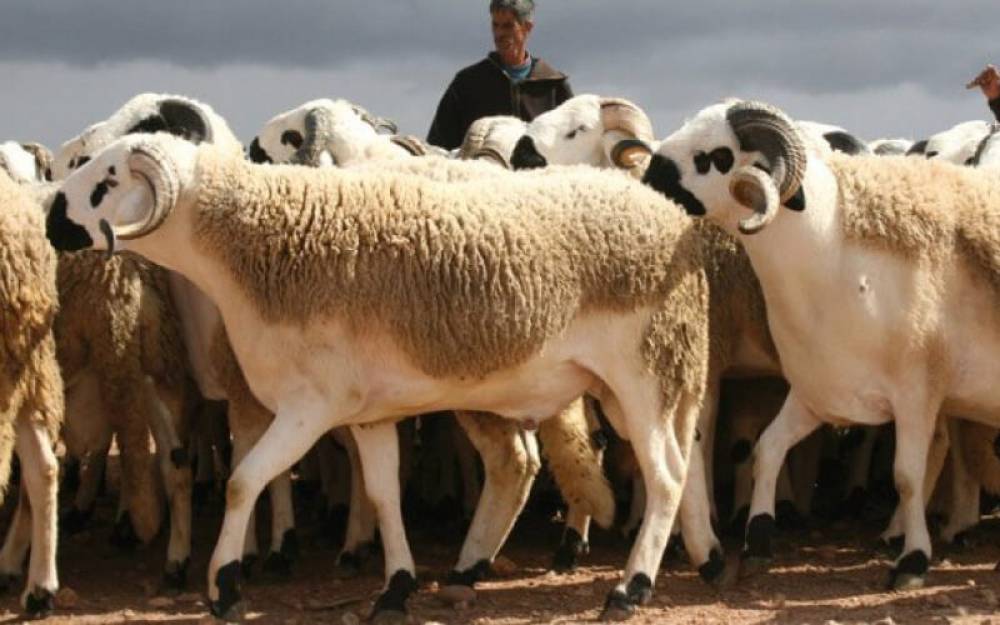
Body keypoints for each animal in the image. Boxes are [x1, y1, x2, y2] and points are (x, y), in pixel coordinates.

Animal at [47, 134, 716, 620]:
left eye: (107, 181)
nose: (52, 217)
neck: (255, 245)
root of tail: (677, 224)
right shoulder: (367, 412)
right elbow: (382, 494)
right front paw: (395, 587)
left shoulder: (309, 406)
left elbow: (243, 483)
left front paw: (225, 588)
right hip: (648, 378)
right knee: (667, 464)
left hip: (644, 372)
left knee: (664, 476)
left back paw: (629, 590)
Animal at [644, 98, 1000, 588]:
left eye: (715, 156)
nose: (646, 177)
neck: (834, 258)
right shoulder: (819, 390)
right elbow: (767, 449)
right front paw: (758, 540)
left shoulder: (917, 394)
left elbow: (906, 476)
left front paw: (912, 562)